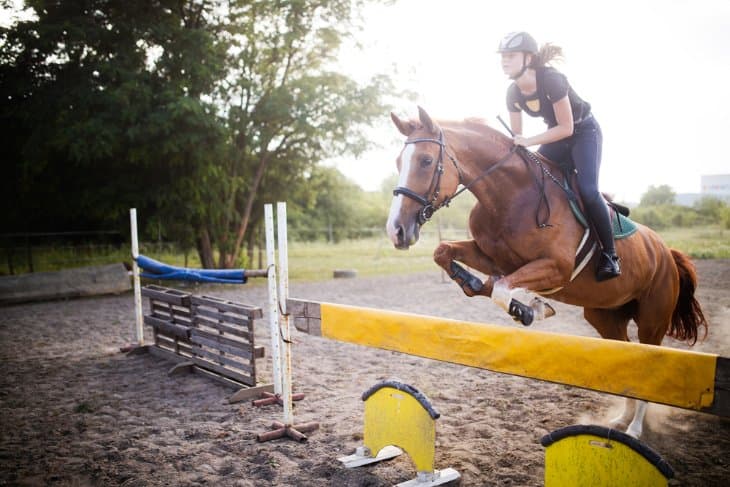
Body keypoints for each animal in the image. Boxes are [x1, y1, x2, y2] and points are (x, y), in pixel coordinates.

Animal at [385, 107, 707, 438]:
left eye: (425, 161)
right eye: (398, 162)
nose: (396, 231)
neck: (511, 194)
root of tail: (666, 252)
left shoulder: (556, 268)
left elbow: (501, 288)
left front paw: (529, 310)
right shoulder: (495, 258)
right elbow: (449, 255)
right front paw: (478, 284)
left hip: (653, 320)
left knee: (649, 363)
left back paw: (634, 429)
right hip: (605, 317)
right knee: (627, 357)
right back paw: (620, 420)